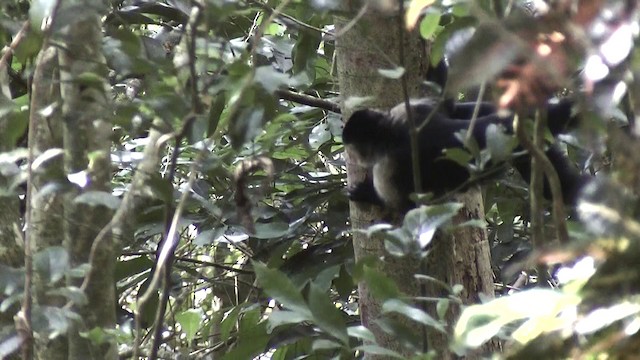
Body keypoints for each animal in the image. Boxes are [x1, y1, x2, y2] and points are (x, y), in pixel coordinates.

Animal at [342, 97, 588, 212]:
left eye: (357, 149)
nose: (354, 157)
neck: (392, 131)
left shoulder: (386, 167)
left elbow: (404, 204)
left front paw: (365, 193)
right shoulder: (407, 110)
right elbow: (452, 110)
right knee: (560, 186)